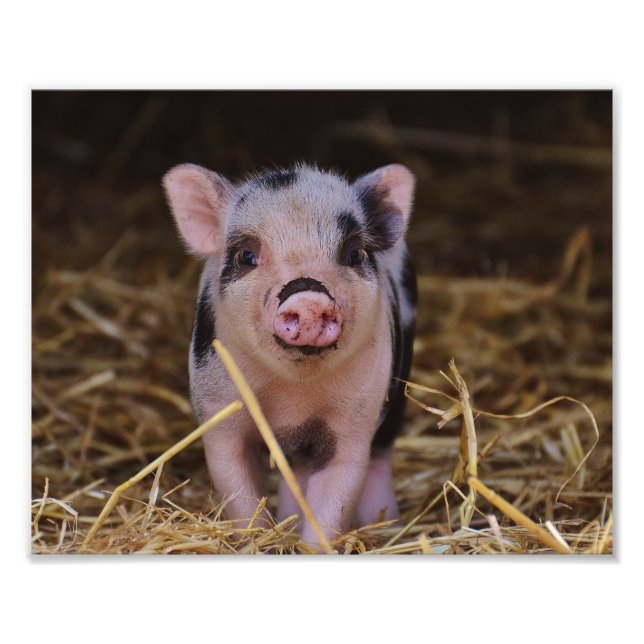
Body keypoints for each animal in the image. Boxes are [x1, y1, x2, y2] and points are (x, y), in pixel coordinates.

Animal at [163, 162, 417, 547]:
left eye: (354, 254)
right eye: (246, 256)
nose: (308, 297)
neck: (293, 398)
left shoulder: (354, 421)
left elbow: (335, 496)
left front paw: (310, 547)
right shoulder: (219, 412)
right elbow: (238, 492)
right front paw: (258, 542)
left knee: (379, 458)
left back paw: (385, 527)